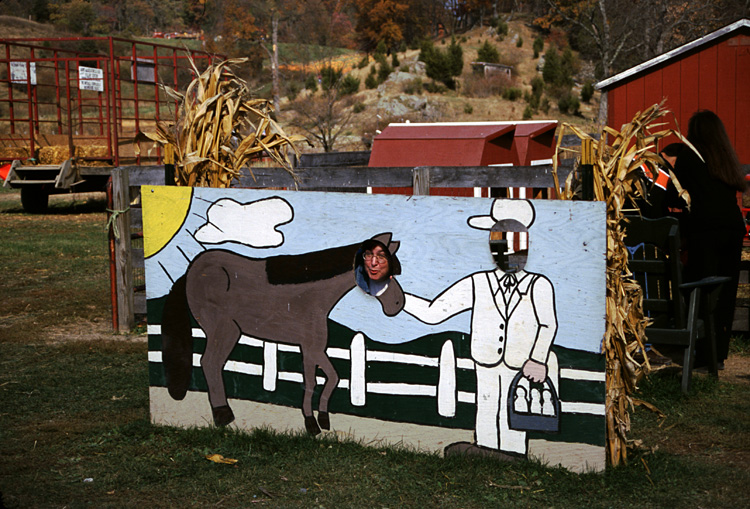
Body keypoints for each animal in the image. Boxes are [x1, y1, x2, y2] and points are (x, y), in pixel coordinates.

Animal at [159, 232, 406, 434]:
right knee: (210, 362)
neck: (313, 297)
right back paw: (223, 415)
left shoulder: (314, 348)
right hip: (225, 330)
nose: (397, 304)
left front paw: (323, 419)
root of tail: (191, 271)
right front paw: (311, 424)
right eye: (382, 270)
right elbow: (311, 382)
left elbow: (331, 377)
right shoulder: (310, 346)